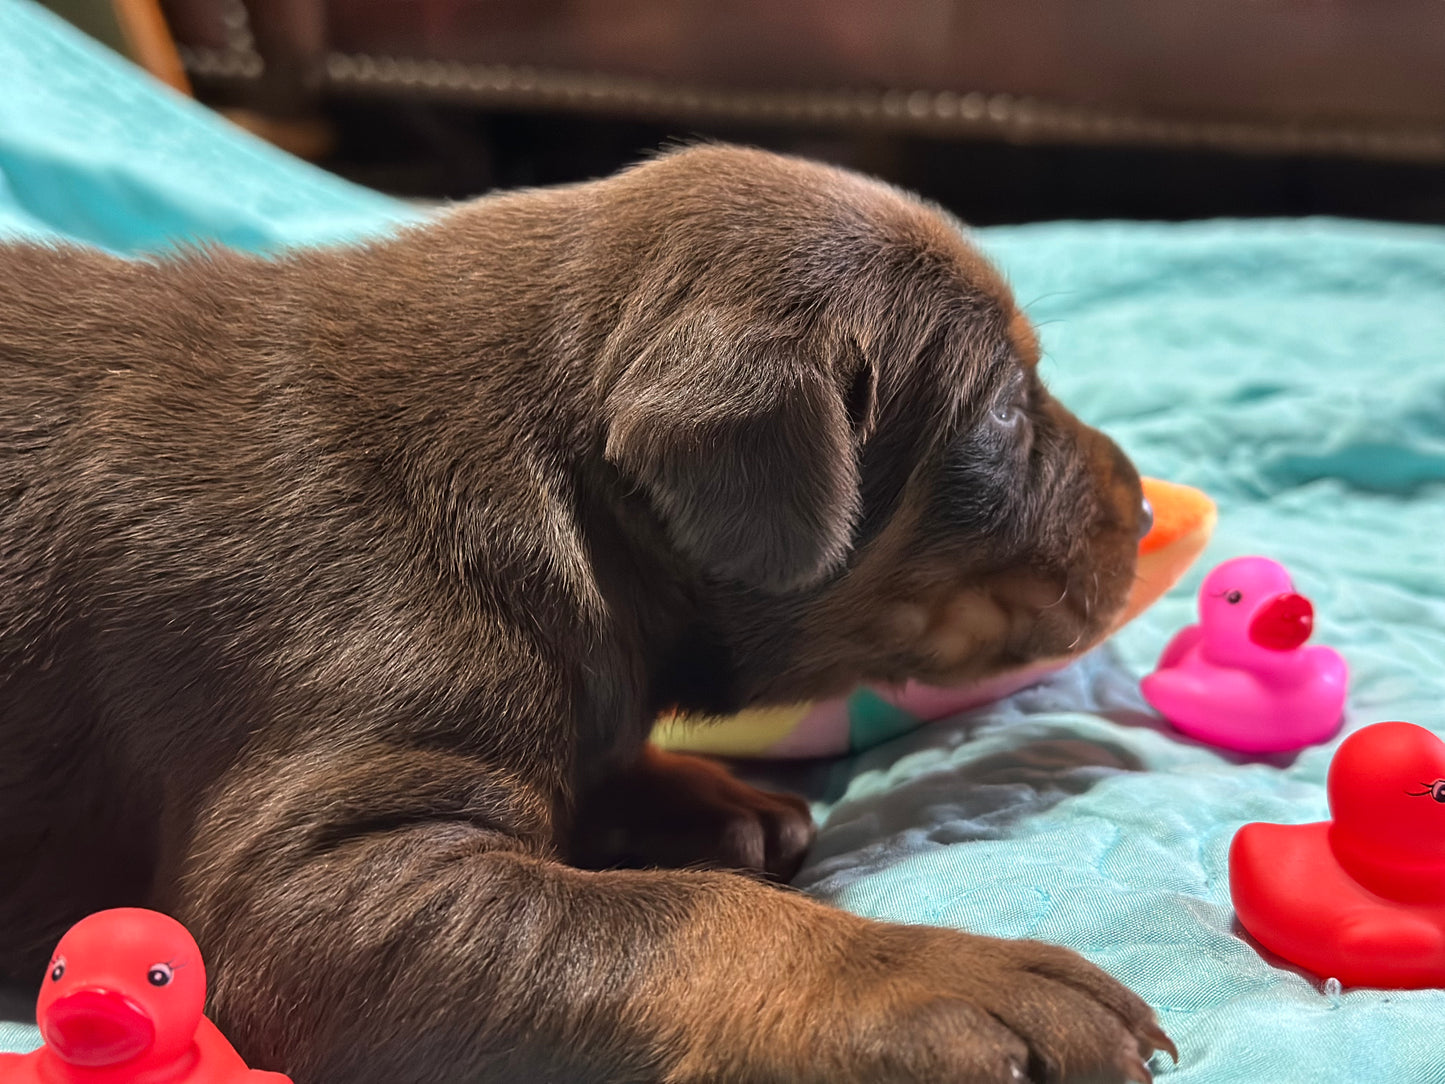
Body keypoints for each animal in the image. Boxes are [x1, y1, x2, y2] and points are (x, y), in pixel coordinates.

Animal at [0, 146, 1167, 1084]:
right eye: (1005, 411)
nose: (1153, 507)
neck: (557, 499)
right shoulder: (312, 889)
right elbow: (683, 914)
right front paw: (925, 975)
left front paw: (703, 798)